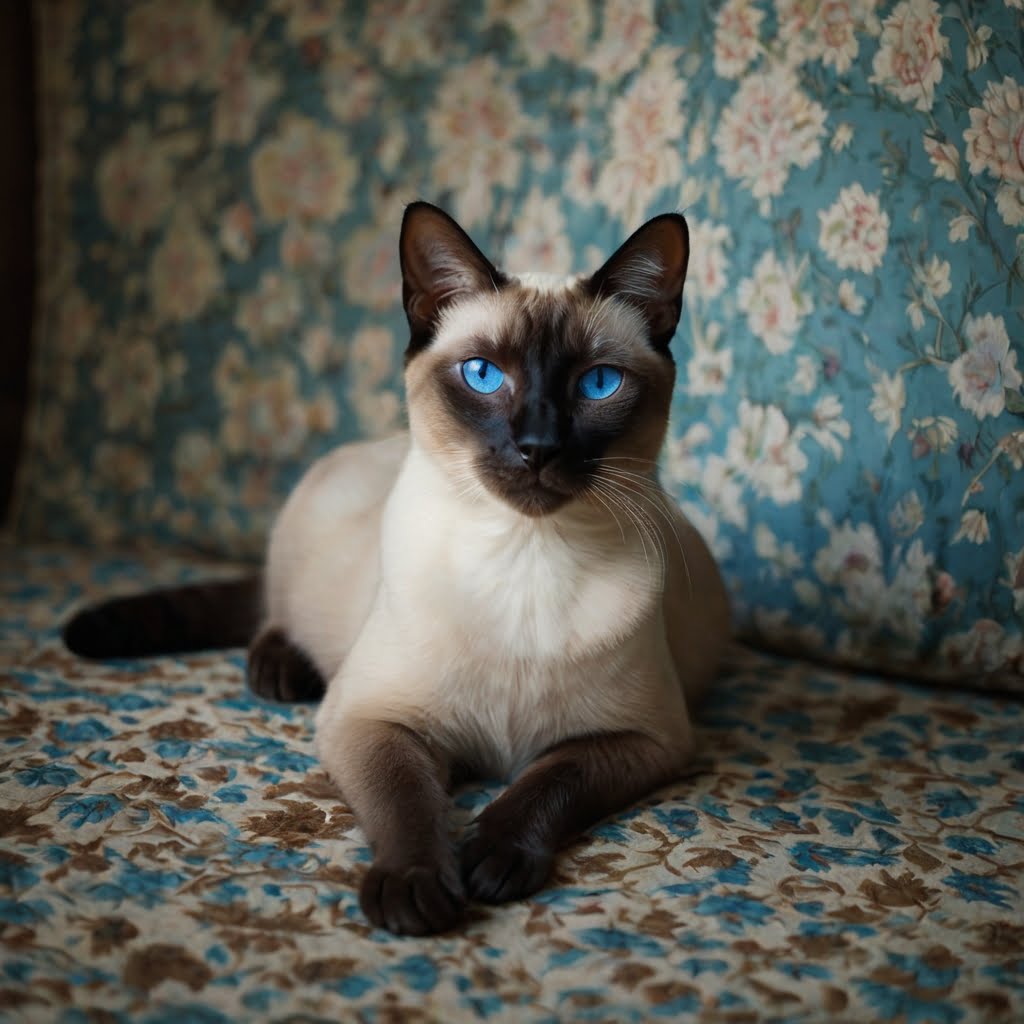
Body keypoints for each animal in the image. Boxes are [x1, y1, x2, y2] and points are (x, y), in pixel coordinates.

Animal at [64, 201, 733, 937]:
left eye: (598, 384)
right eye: (482, 375)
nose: (537, 448)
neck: (524, 555)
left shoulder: (646, 739)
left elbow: (547, 781)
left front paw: (491, 860)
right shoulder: (373, 720)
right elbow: (409, 803)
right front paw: (415, 890)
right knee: (271, 610)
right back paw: (280, 671)